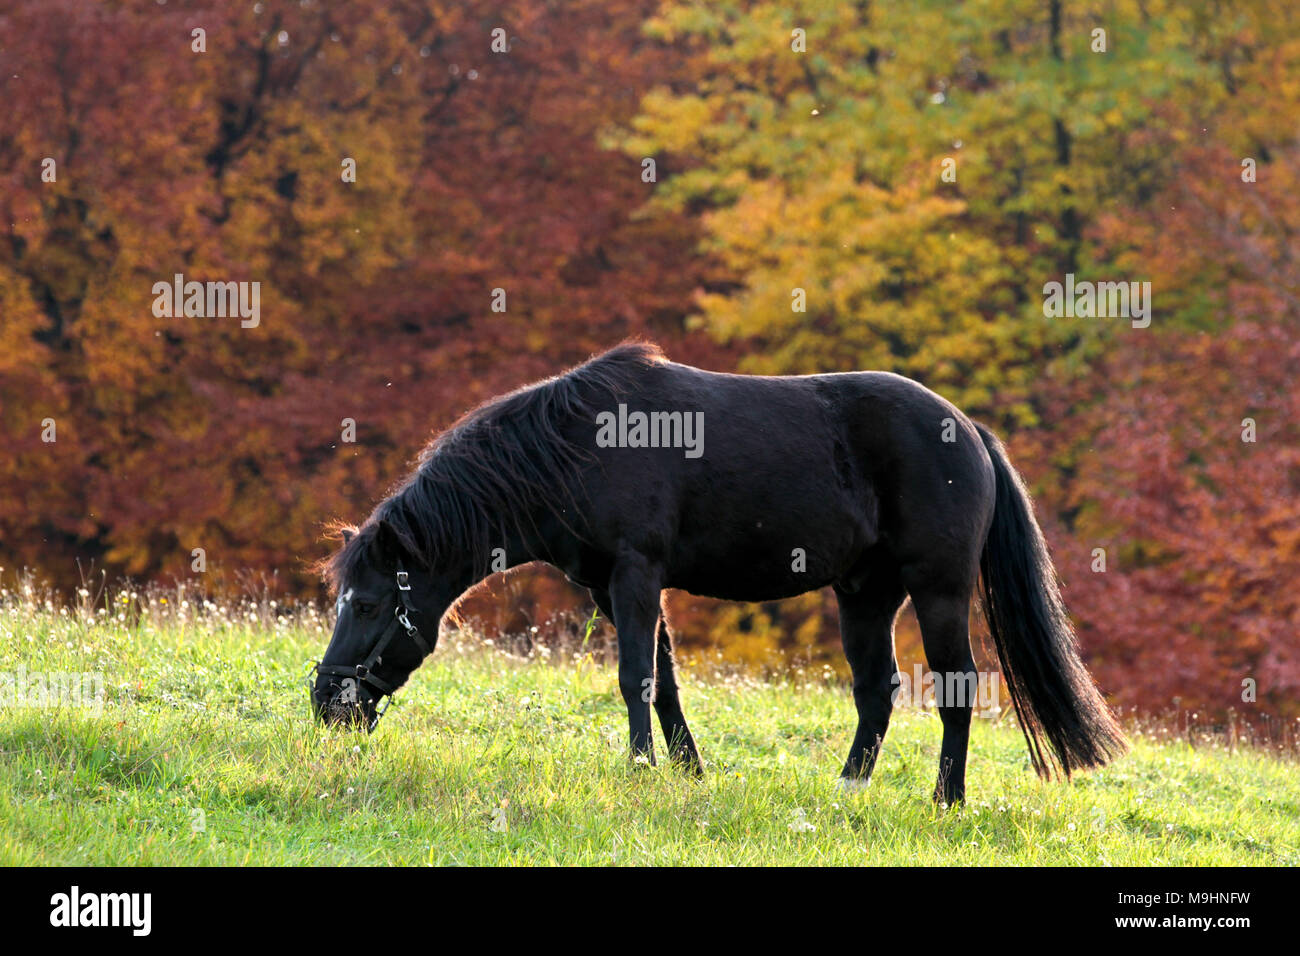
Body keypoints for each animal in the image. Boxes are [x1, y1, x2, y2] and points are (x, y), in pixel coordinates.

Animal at [311, 342, 1126, 803]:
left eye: (370, 602)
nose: (326, 701)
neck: (578, 446)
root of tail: (971, 432)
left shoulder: (636, 575)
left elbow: (635, 677)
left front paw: (641, 770)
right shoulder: (615, 586)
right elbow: (665, 680)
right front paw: (686, 770)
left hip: (939, 590)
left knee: (954, 688)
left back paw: (944, 800)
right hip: (866, 593)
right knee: (877, 691)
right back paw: (848, 788)